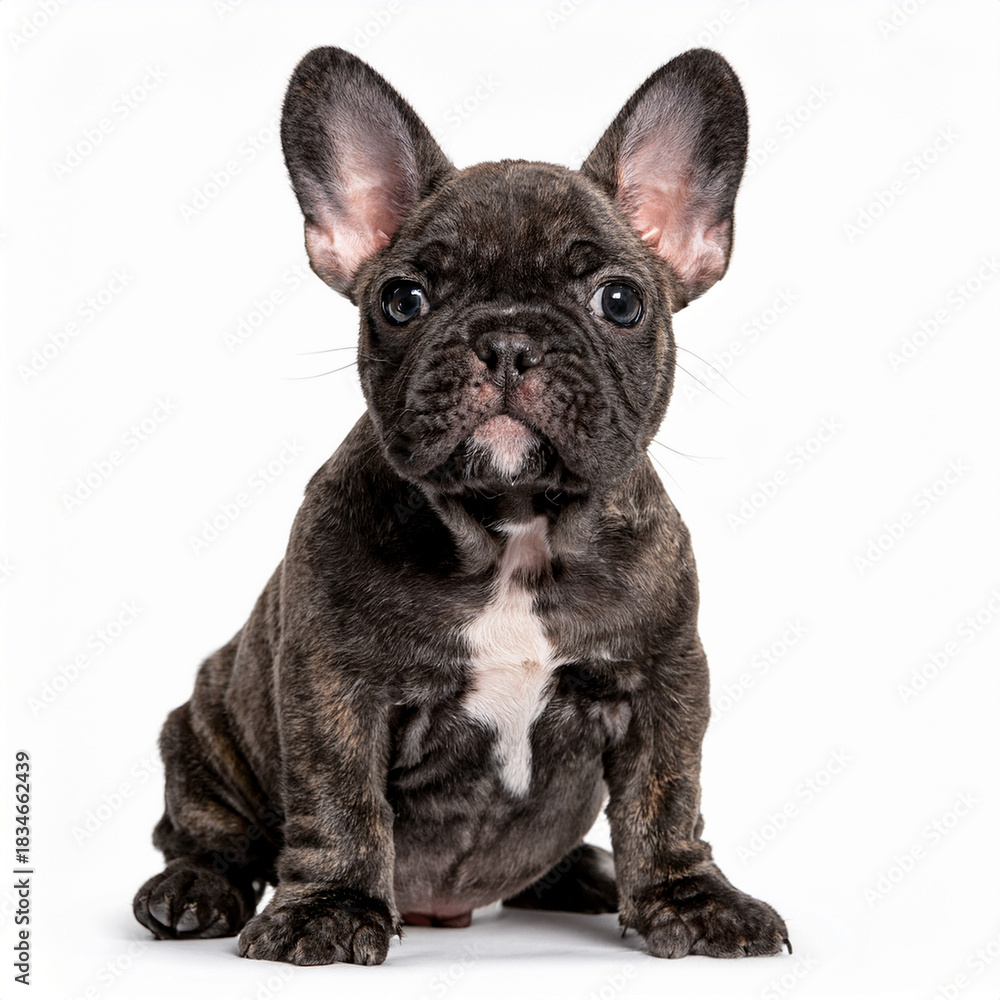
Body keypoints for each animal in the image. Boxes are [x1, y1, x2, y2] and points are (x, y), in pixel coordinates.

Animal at [133, 45, 789, 965]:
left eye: (620, 301)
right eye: (403, 299)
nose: (507, 340)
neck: (513, 528)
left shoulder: (662, 679)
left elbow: (666, 799)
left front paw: (688, 899)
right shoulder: (334, 683)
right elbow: (340, 798)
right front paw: (329, 908)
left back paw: (585, 875)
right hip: (207, 728)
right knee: (207, 835)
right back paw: (191, 892)